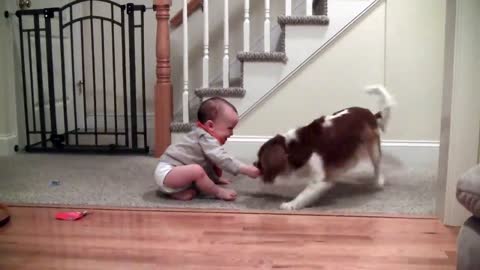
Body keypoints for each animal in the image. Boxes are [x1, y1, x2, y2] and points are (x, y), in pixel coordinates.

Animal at [253, 85, 396, 210]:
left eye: (260, 158)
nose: (254, 164)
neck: (294, 146)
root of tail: (370, 113)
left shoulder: (320, 179)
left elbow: (304, 194)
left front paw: (290, 204)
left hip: (373, 148)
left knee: (377, 166)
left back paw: (378, 182)